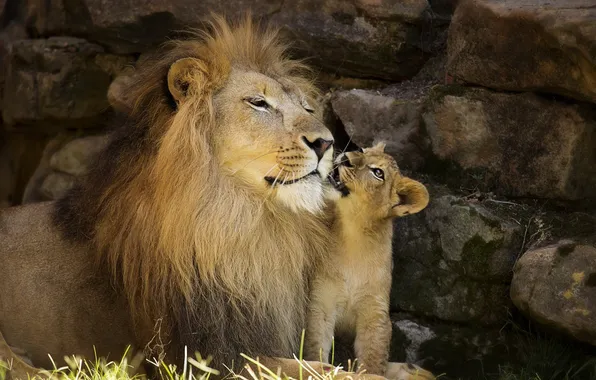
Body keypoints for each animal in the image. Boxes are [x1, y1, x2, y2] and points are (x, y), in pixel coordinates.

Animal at [0, 15, 430, 380]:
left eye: (307, 107)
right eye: (259, 103)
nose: (327, 143)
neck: (245, 220)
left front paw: (410, 369)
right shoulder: (206, 356)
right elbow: (327, 371)